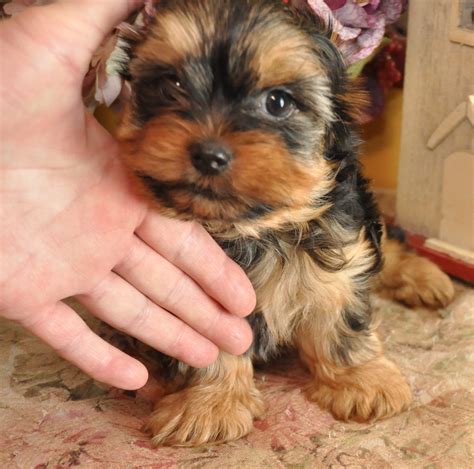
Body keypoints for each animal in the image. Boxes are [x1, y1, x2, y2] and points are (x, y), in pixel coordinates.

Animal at [116, 0, 454, 444]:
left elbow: (339, 316)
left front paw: (361, 379)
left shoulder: (342, 247)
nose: (209, 154)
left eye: (277, 103)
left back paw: (425, 278)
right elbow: (208, 341)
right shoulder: (192, 291)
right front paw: (209, 403)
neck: (255, 231)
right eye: (170, 85)